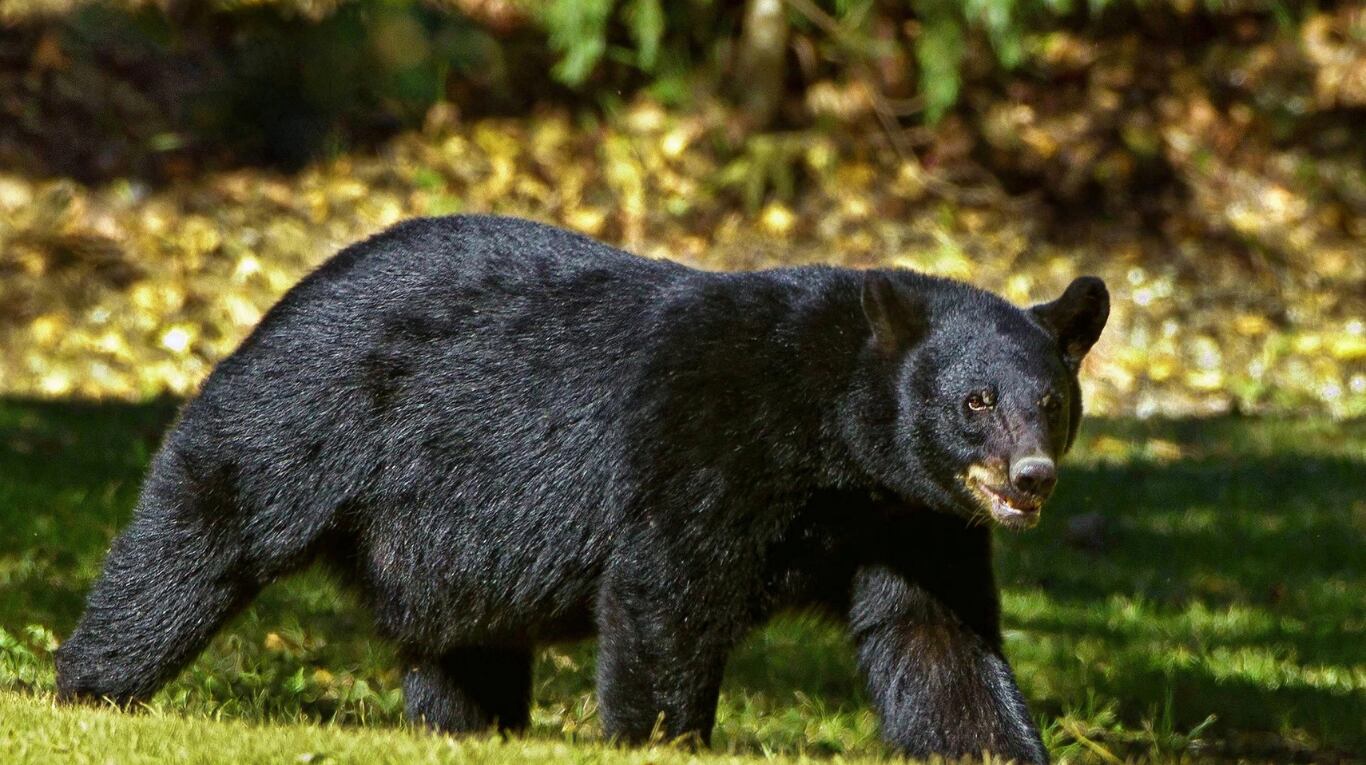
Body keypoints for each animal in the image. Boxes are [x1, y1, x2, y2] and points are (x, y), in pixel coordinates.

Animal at [58, 211, 1109, 759]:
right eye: (976, 400)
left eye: (1052, 400)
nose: (1031, 475)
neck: (834, 441)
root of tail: (291, 288)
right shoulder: (709, 441)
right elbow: (666, 593)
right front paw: (664, 738)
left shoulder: (911, 517)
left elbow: (938, 642)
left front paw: (999, 742)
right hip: (308, 410)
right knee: (202, 530)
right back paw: (92, 684)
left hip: (445, 541)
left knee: (461, 641)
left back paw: (468, 726)